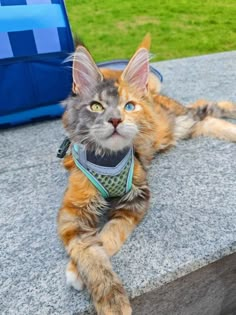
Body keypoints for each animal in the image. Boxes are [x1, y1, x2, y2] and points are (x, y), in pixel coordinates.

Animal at [57, 35, 236, 315]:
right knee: (207, 118)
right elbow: (87, 249)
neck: (109, 158)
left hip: (182, 118)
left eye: (129, 106)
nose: (116, 120)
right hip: (187, 127)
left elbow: (108, 235)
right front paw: (103, 291)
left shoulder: (136, 199)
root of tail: (152, 94)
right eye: (96, 106)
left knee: (207, 106)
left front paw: (98, 290)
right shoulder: (73, 209)